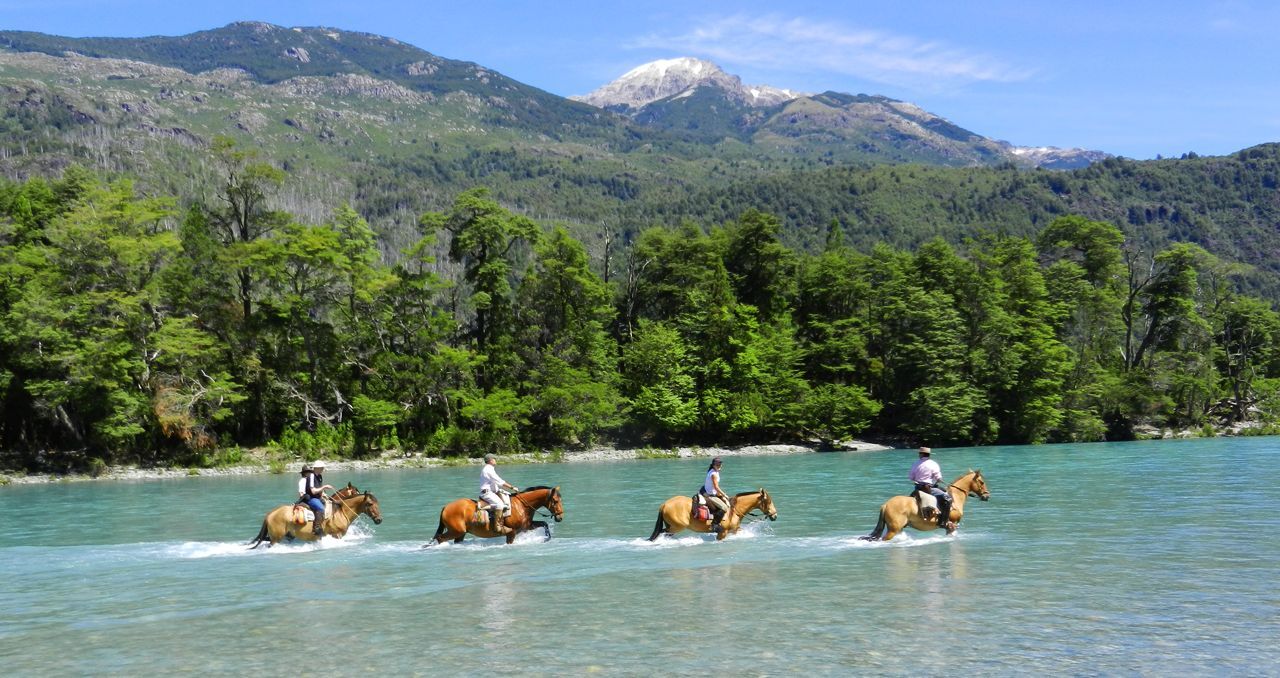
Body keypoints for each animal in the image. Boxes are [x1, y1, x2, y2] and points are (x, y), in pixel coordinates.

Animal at [245, 480, 381, 547]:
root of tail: (270, 514)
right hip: (276, 538)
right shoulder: (336, 535)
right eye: (370, 504)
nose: (379, 519)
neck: (339, 512)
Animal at [424, 483, 565, 544]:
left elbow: (544, 524)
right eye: (555, 501)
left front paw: (547, 538)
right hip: (456, 531)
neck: (521, 505)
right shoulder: (512, 532)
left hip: (460, 533)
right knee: (440, 538)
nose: (560, 517)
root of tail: (446, 507)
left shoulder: (526, 526)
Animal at [645, 483, 773, 539]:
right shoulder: (723, 532)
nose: (774, 515)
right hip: (677, 526)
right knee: (662, 532)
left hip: (672, 526)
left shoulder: (735, 530)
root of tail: (664, 504)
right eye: (769, 502)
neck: (734, 510)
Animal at [860, 468, 988, 539]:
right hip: (893, 530)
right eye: (981, 482)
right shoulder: (952, 524)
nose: (986, 496)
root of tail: (886, 504)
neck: (955, 498)